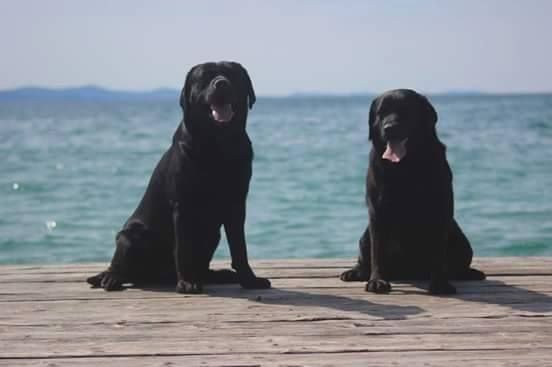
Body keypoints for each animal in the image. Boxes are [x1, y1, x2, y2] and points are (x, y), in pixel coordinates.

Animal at [86, 61, 272, 294]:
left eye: (232, 75)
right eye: (205, 77)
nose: (221, 83)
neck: (218, 145)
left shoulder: (236, 204)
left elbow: (240, 248)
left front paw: (249, 280)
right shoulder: (183, 205)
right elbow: (183, 248)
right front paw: (188, 282)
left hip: (212, 234)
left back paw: (219, 275)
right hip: (130, 236)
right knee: (121, 261)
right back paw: (112, 277)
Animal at [338, 89, 486, 296]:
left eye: (406, 111)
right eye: (381, 113)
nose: (390, 127)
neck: (405, 167)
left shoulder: (441, 210)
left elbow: (438, 252)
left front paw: (440, 284)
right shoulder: (377, 212)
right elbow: (377, 252)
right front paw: (377, 281)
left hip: (462, 241)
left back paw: (470, 273)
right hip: (365, 235)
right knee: (366, 257)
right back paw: (355, 272)